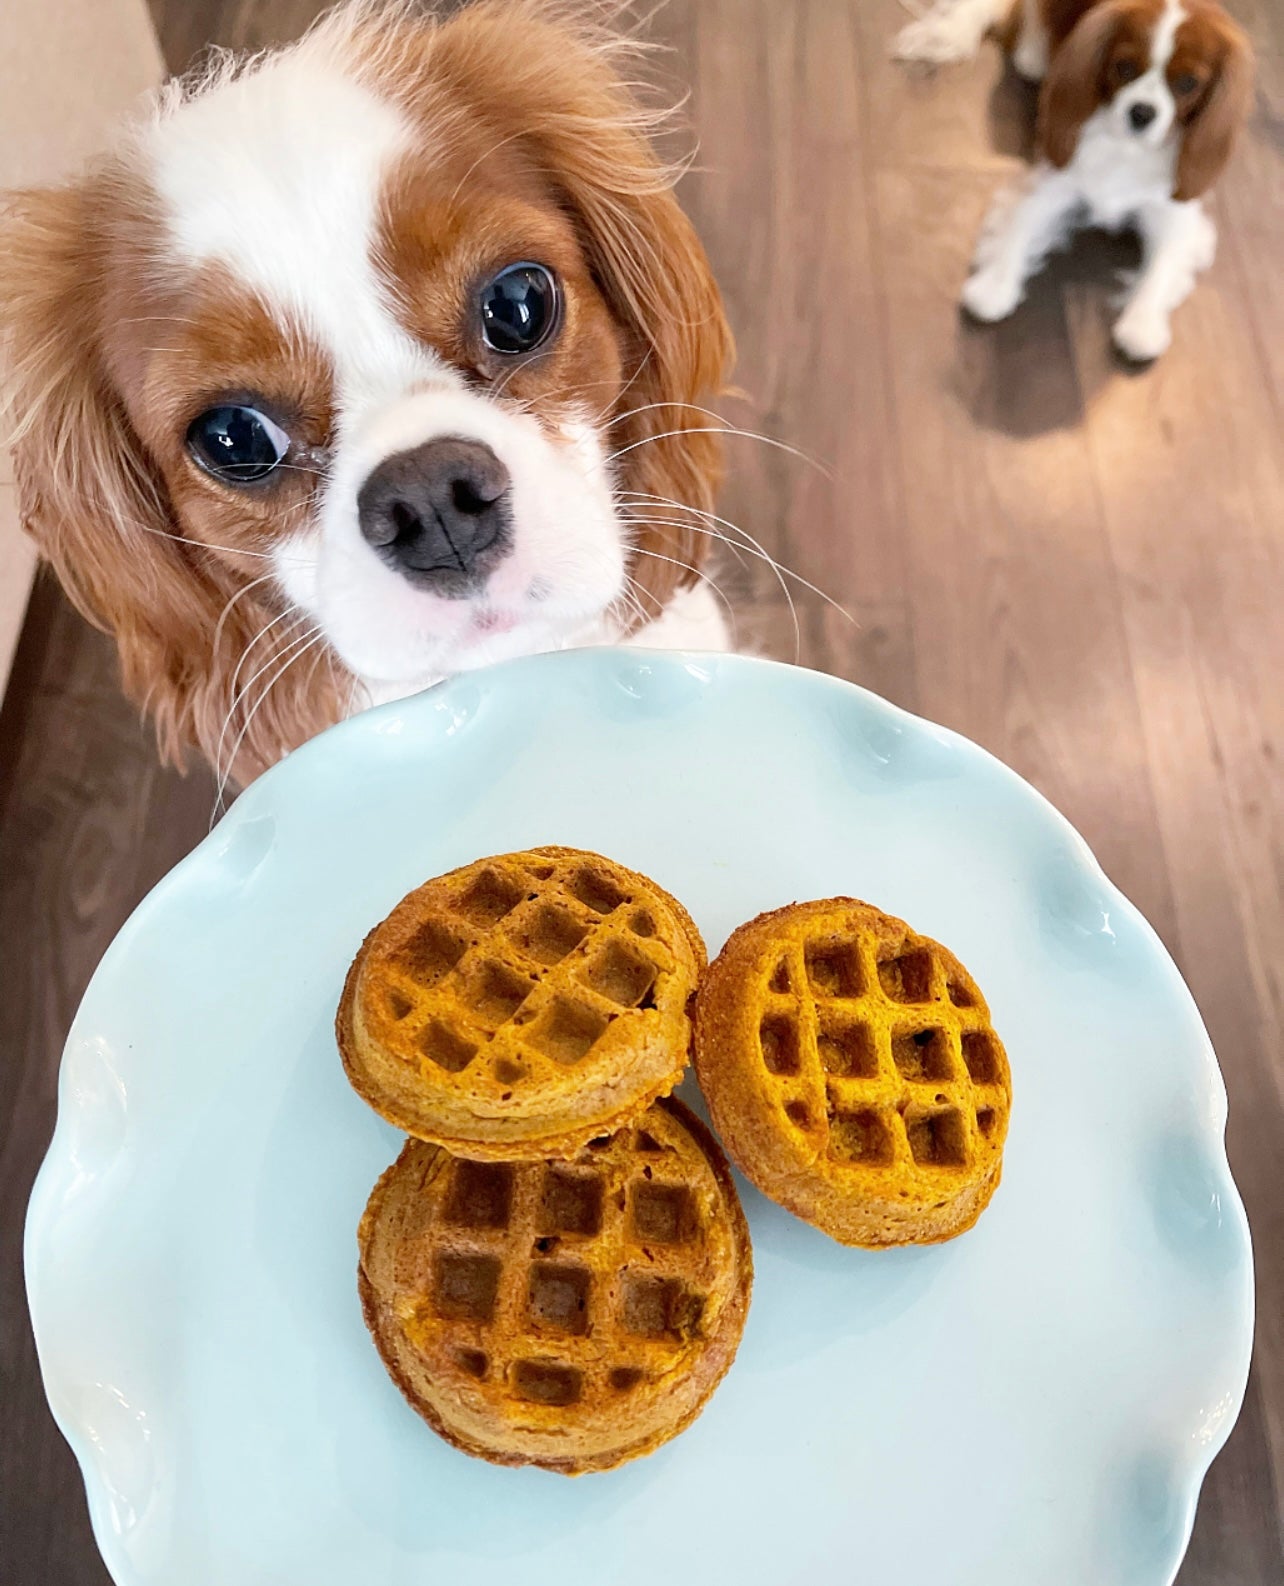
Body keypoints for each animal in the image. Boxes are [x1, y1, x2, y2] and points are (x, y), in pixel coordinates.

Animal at [887, 0, 1249, 360]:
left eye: (1188, 83)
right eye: (1124, 67)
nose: (1142, 112)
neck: (1126, 147)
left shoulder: (1175, 212)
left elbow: (1162, 266)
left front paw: (1142, 324)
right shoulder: (1052, 182)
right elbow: (1018, 227)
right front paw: (994, 286)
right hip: (1033, 42)